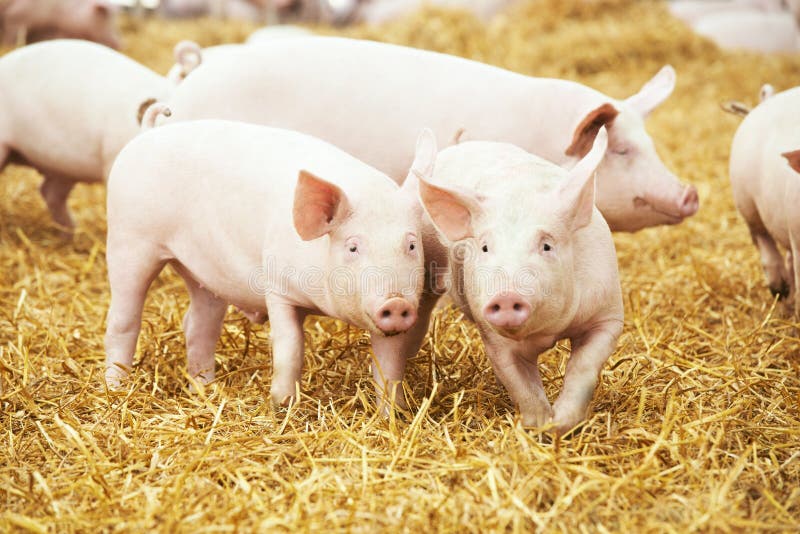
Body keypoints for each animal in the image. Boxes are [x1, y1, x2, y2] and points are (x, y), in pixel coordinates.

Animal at [103, 118, 440, 410]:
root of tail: (145, 136)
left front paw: (393, 414)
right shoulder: (278, 288)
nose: (396, 303)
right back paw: (115, 388)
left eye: (411, 245)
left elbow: (389, 365)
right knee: (123, 321)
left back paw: (206, 389)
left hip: (205, 274)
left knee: (198, 326)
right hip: (129, 240)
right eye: (353, 246)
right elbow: (290, 347)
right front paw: (281, 403)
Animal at [418, 129, 624, 436]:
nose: (506, 296)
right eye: (485, 247)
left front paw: (560, 423)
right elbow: (521, 385)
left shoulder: (608, 315)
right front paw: (540, 426)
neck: (548, 332)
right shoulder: (493, 337)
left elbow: (584, 366)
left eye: (547, 246)